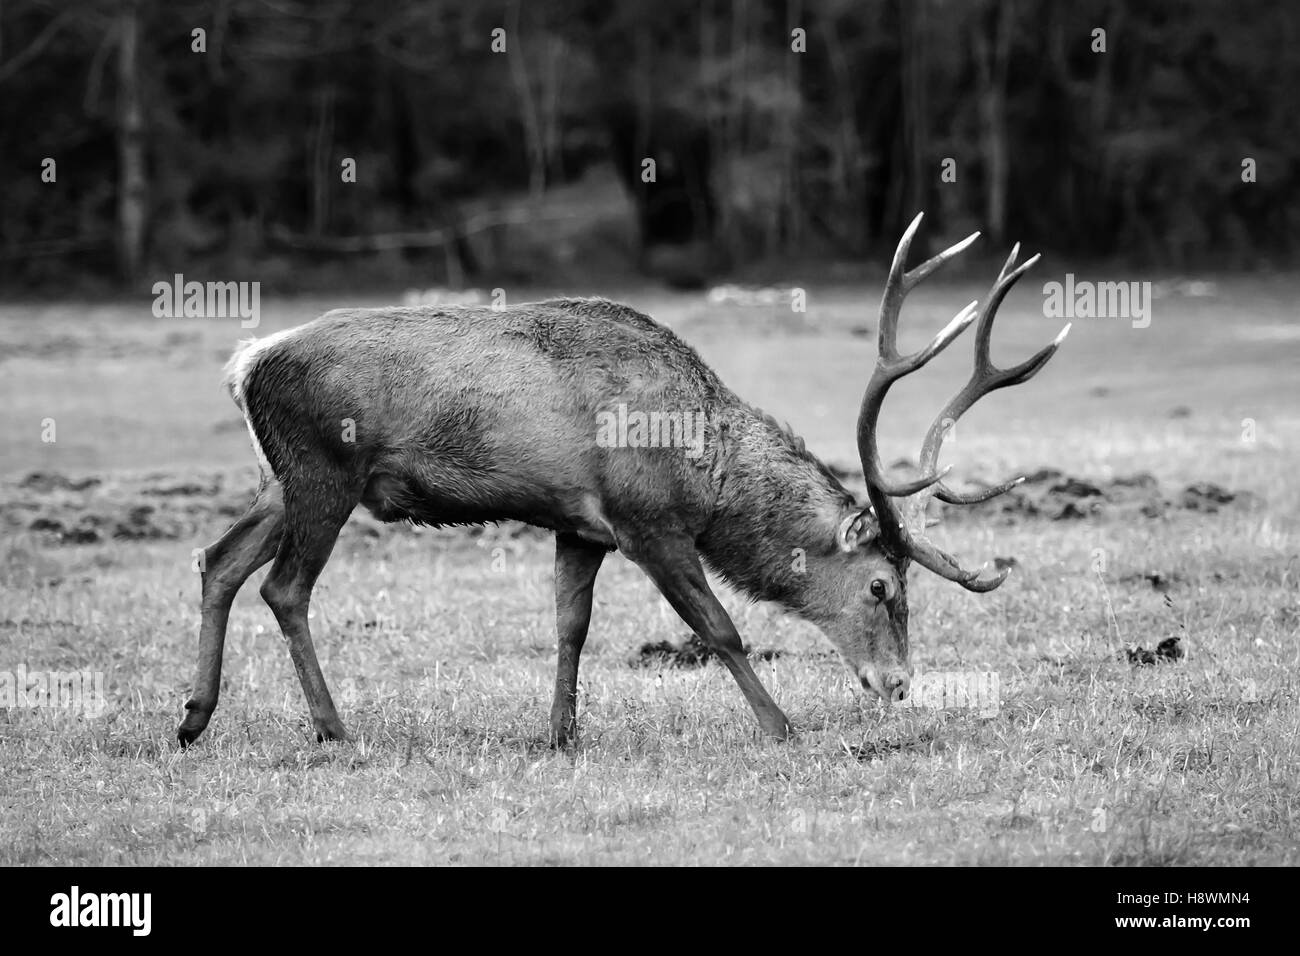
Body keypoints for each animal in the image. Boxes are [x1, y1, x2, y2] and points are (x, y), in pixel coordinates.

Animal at [175, 214, 1066, 749]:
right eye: (883, 585)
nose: (899, 684)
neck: (707, 474)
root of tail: (245, 365)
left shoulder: (580, 527)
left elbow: (571, 626)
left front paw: (561, 733)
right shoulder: (647, 521)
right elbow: (719, 628)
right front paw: (781, 726)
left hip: (282, 479)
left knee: (218, 559)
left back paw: (193, 718)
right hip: (325, 469)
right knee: (284, 587)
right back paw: (332, 728)